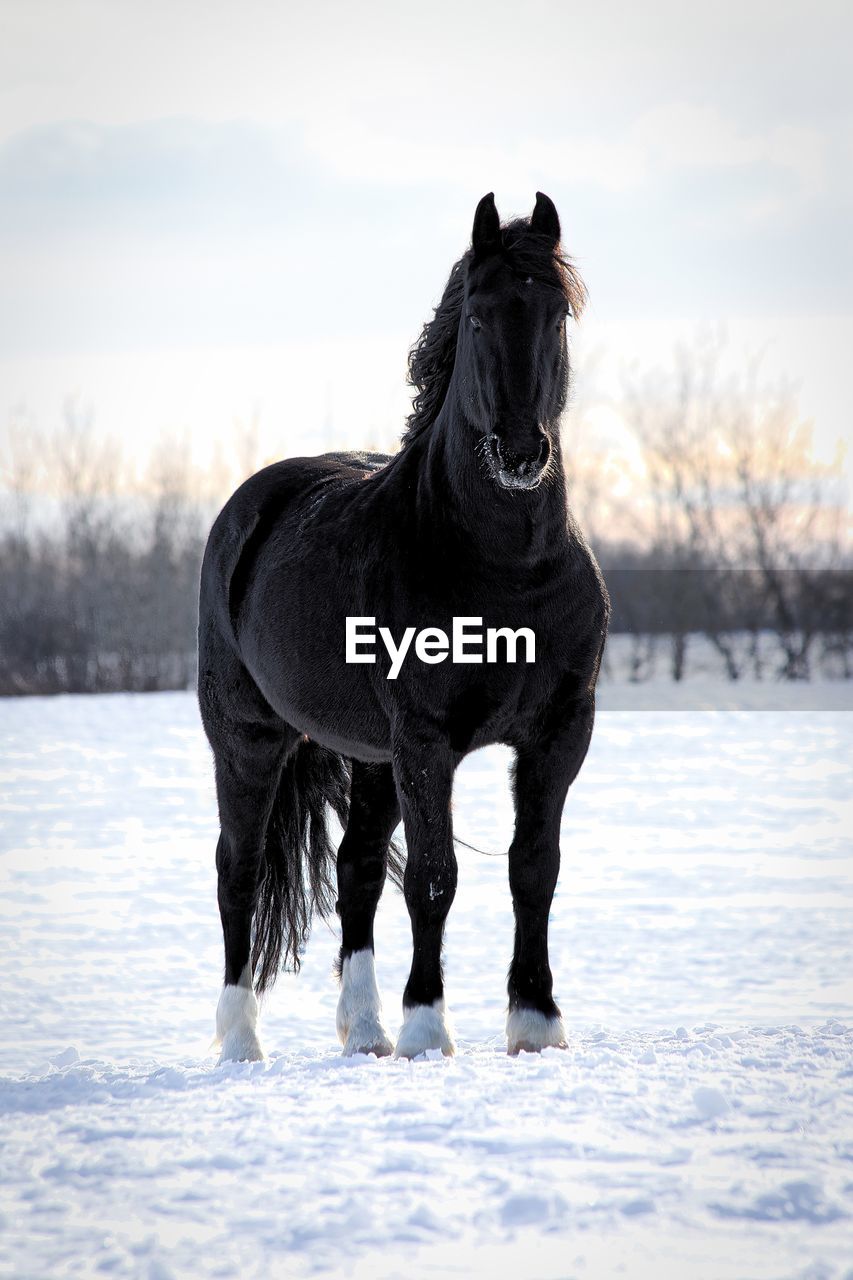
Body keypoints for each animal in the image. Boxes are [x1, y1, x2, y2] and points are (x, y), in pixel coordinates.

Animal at [195, 189, 607, 1059]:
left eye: (554, 314)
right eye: (478, 316)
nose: (521, 452)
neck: (507, 569)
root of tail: (251, 505)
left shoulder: (560, 733)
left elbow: (534, 868)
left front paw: (535, 1022)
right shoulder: (425, 743)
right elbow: (433, 877)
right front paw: (428, 1027)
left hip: (369, 756)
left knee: (353, 873)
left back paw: (365, 1032)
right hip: (248, 741)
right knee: (237, 871)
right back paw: (243, 1042)